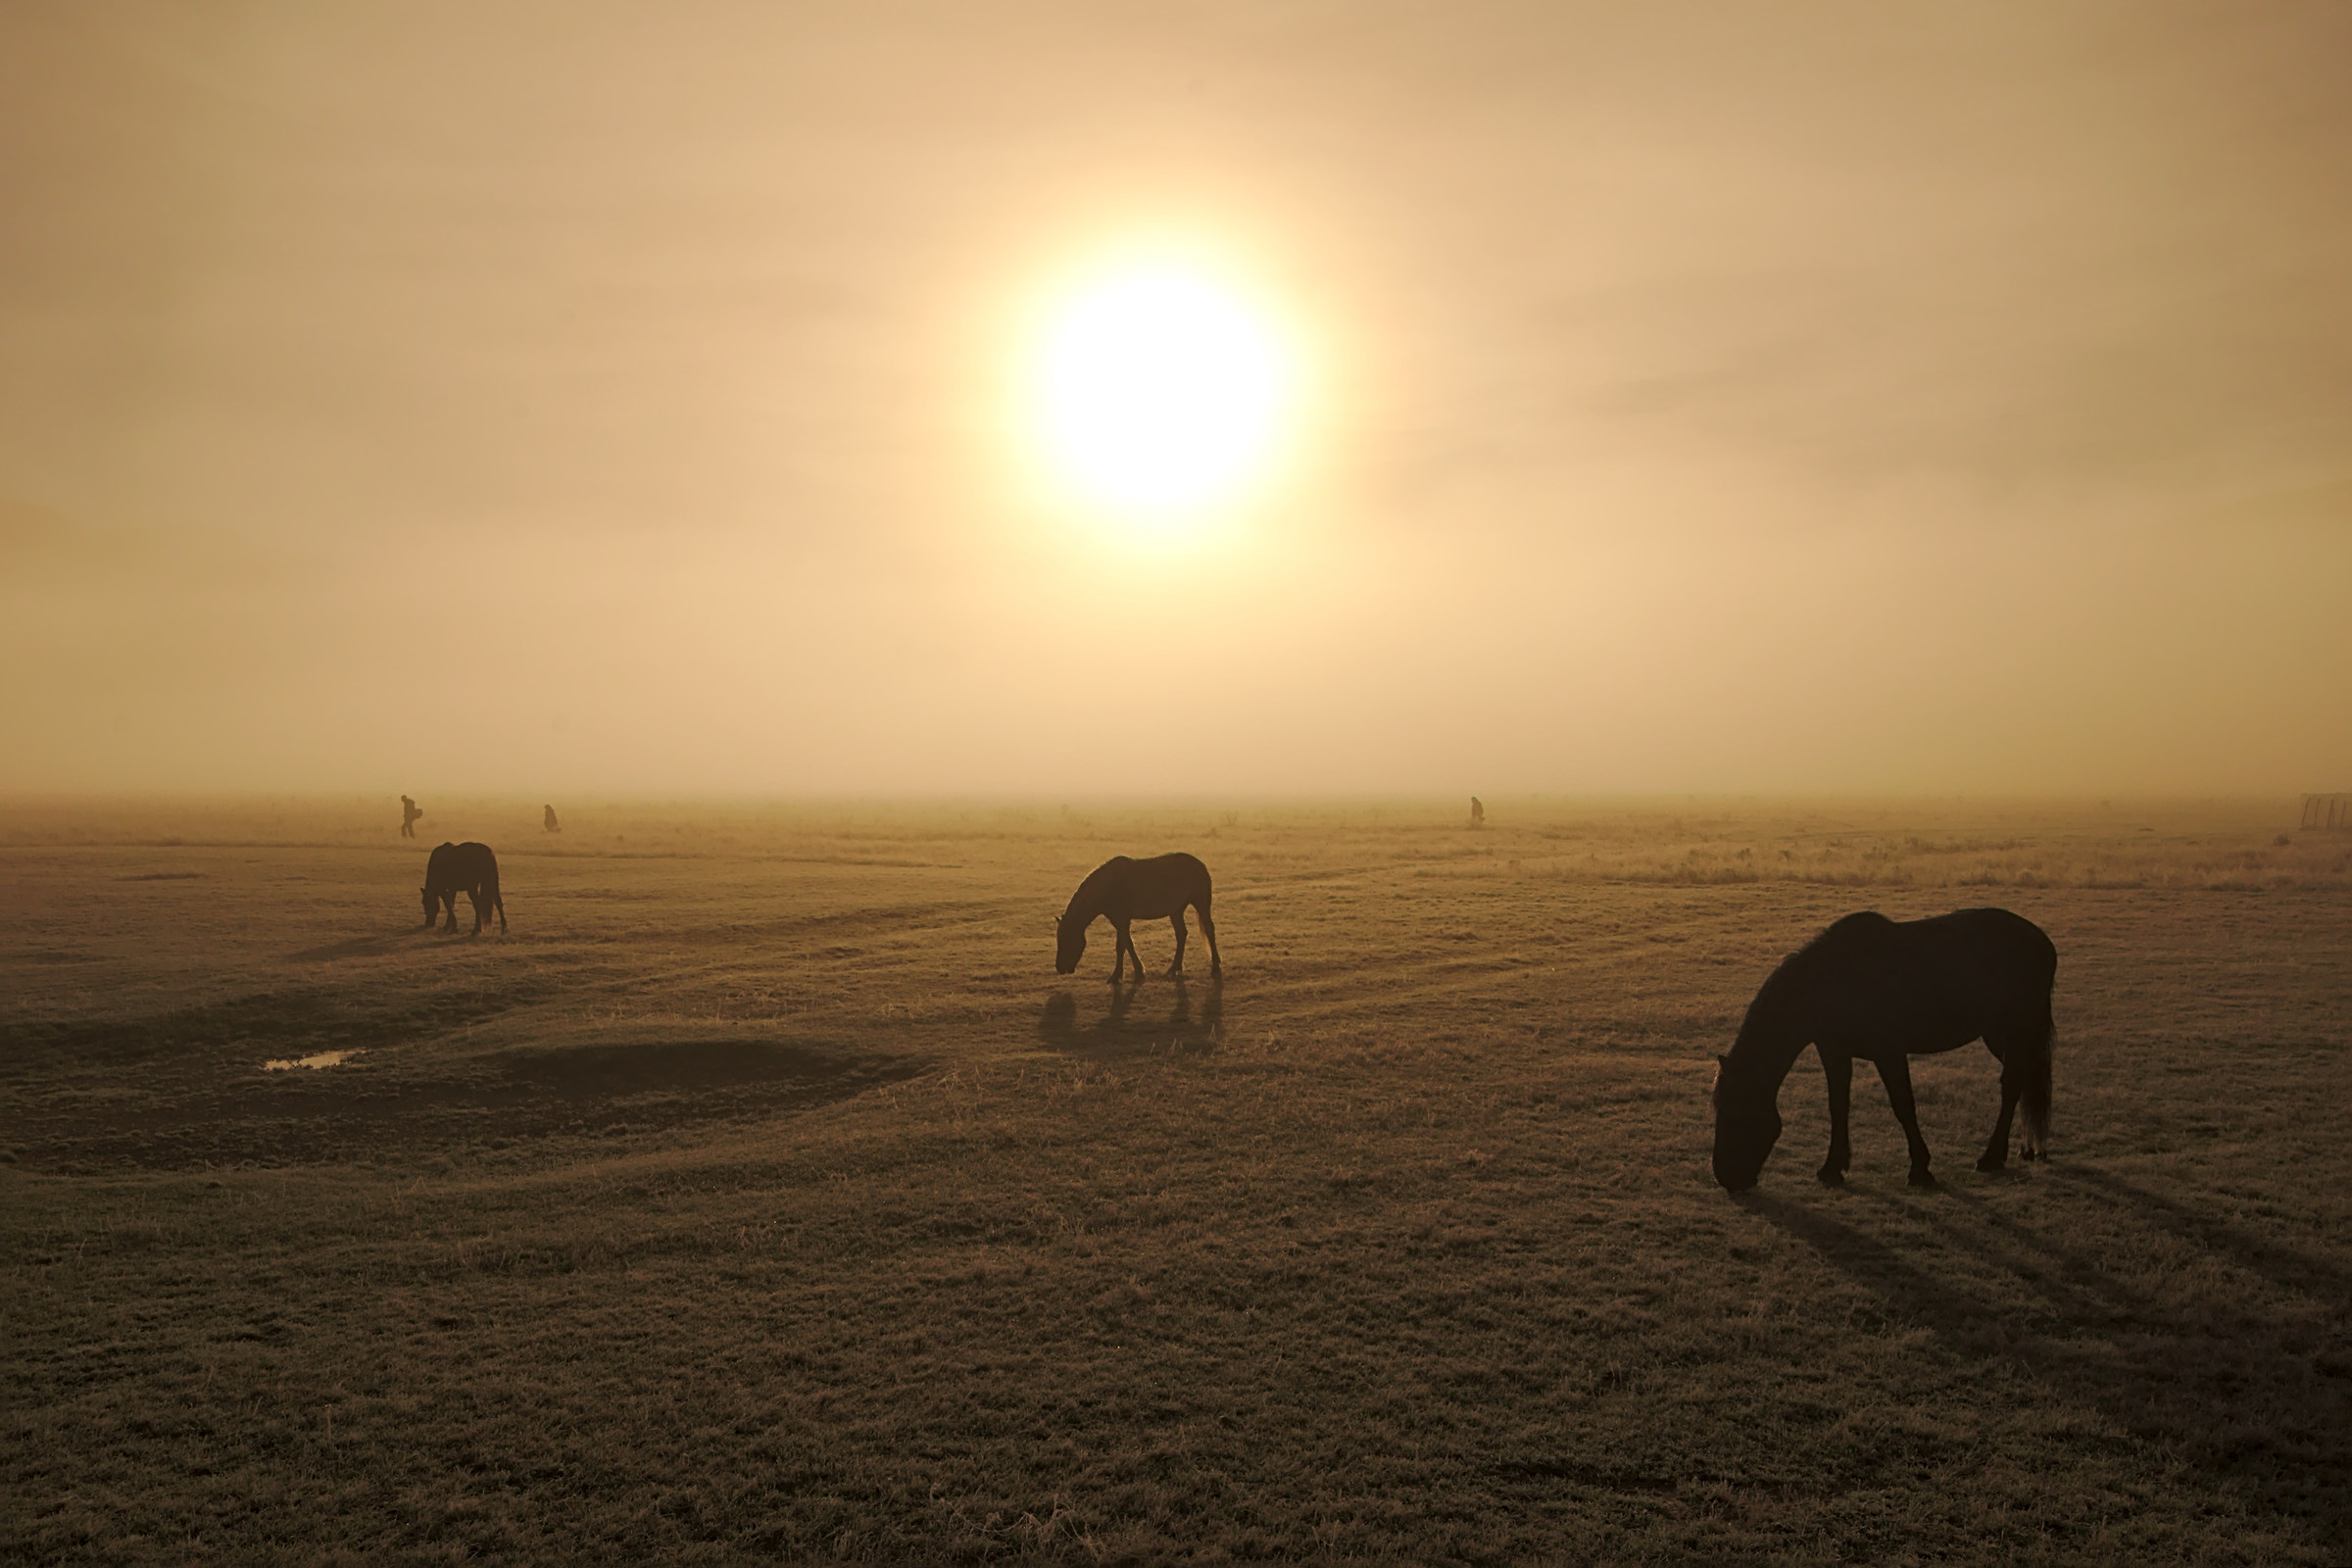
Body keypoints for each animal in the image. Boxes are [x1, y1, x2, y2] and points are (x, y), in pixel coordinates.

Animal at [1056, 853, 1222, 982]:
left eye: (1065, 940)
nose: (1059, 968)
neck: (1107, 887)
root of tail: (1200, 864)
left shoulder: (1122, 920)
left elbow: (1122, 945)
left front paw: (1121, 974)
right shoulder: (1119, 921)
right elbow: (1126, 944)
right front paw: (1133, 971)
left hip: (1200, 903)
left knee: (1209, 929)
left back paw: (1215, 967)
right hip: (1176, 910)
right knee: (1181, 934)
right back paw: (1175, 968)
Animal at [1711, 908, 2054, 1192]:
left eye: (1736, 1113)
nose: (1725, 1177)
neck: (1832, 982)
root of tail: (2043, 942)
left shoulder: (1889, 1052)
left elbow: (1903, 1105)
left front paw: (1920, 1170)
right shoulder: (1834, 1052)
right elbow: (1838, 1106)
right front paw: (1832, 1168)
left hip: (2016, 1031)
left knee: (2011, 1085)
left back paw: (1992, 1157)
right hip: (1999, 1036)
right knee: (2020, 1080)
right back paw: (2025, 1149)